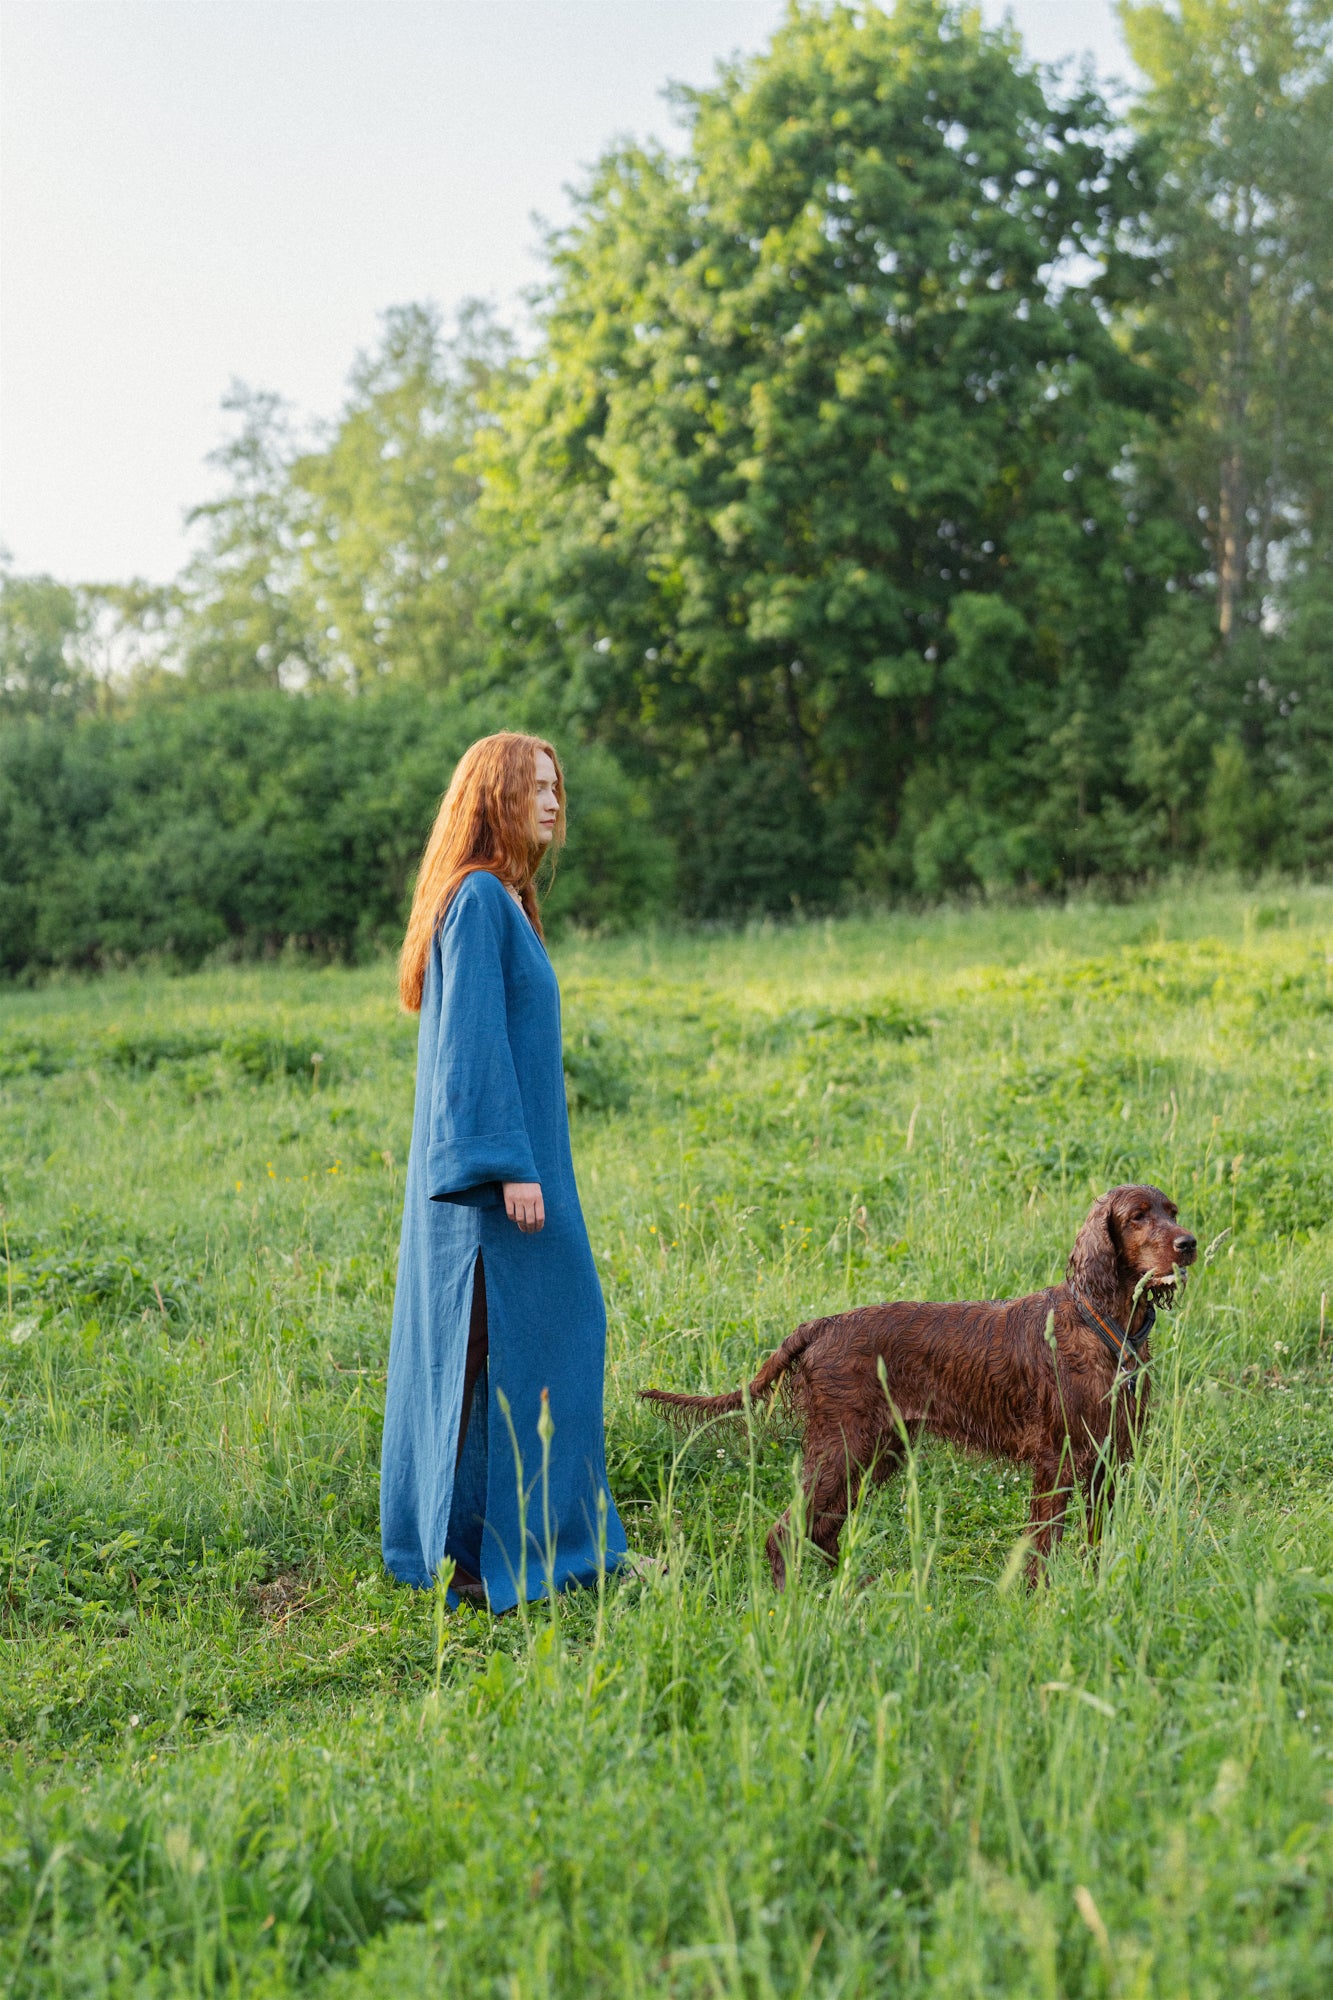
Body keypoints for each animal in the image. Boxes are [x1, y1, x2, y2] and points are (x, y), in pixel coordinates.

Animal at [640, 1176, 1184, 1584]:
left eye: (1172, 1211)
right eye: (1137, 1216)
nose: (1189, 1243)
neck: (1105, 1325)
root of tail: (822, 1325)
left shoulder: (1110, 1458)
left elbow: (1097, 1542)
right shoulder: (1058, 1458)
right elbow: (1042, 1545)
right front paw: (1039, 1601)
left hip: (876, 1451)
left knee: (821, 1530)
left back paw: (856, 1589)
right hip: (844, 1445)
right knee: (786, 1531)